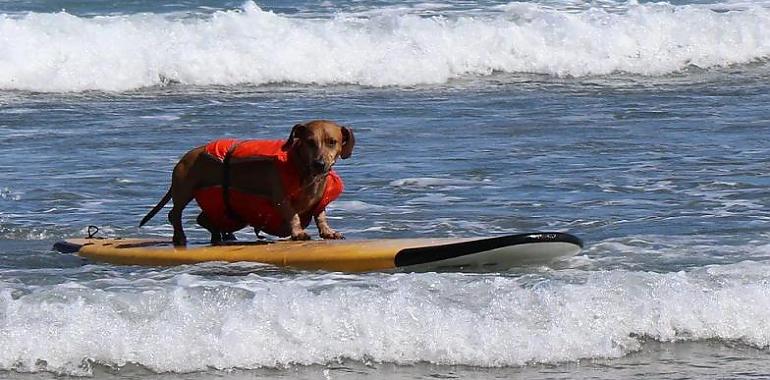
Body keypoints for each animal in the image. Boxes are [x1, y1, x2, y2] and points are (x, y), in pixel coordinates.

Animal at [138, 121, 354, 246]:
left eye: (332, 141)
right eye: (310, 142)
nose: (320, 164)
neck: (301, 168)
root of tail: (186, 156)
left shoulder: (319, 201)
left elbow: (320, 214)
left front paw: (328, 232)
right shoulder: (281, 198)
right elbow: (292, 215)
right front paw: (298, 232)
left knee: (205, 219)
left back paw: (221, 236)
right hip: (184, 190)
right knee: (175, 213)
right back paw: (180, 236)